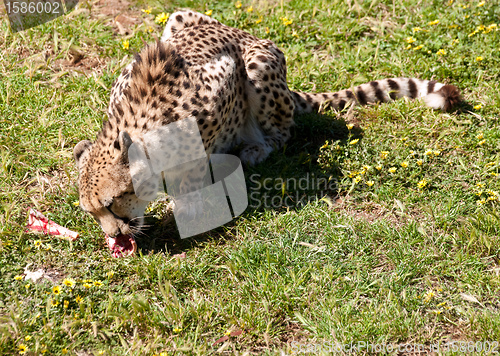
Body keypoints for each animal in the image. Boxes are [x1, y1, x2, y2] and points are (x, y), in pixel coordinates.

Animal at [73, 9, 460, 253]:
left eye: (111, 203)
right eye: (92, 213)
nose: (113, 236)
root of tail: (250, 34)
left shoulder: (223, 80)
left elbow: (198, 162)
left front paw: (189, 203)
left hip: (258, 65)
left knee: (284, 132)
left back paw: (255, 149)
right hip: (178, 19)